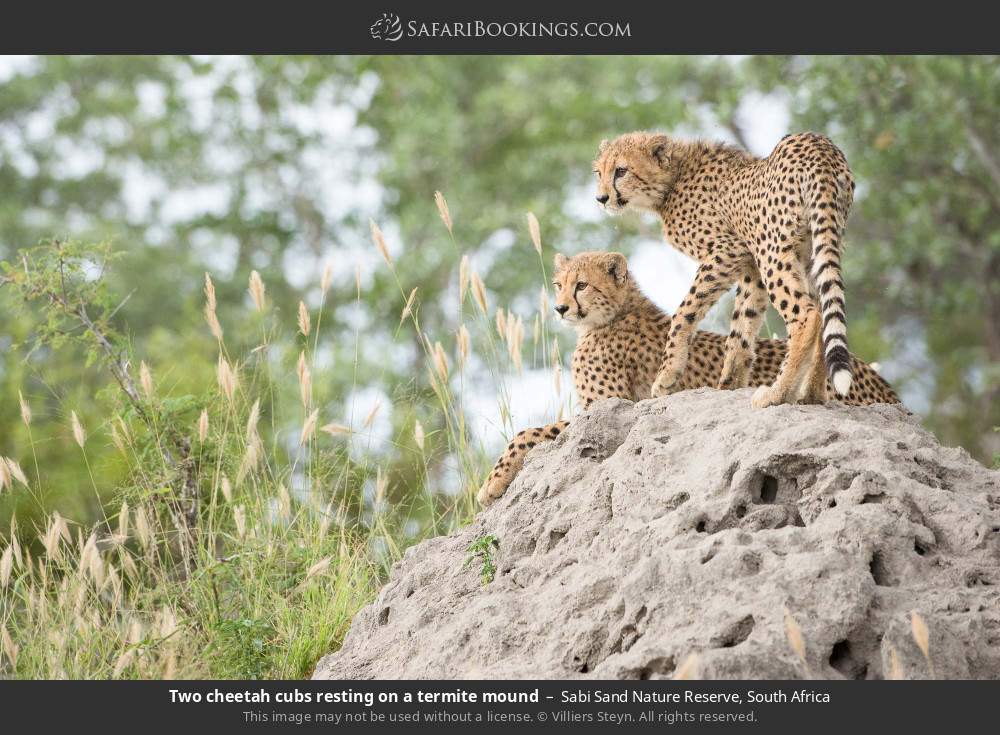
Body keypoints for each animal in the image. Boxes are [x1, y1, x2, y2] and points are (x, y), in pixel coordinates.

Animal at [477, 251, 898, 506]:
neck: (616, 313)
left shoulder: (611, 409)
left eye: (581, 285)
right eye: (559, 284)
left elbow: (526, 432)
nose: (560, 307)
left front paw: (491, 485)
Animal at [593, 131, 856, 411]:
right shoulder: (750, 264)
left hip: (773, 251)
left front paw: (667, 375)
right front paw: (729, 384)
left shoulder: (729, 250)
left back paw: (777, 393)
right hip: (813, 248)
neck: (673, 178)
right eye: (599, 172)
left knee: (807, 315)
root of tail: (819, 144)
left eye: (621, 171)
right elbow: (742, 324)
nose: (601, 199)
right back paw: (812, 395)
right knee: (824, 310)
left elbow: (684, 312)